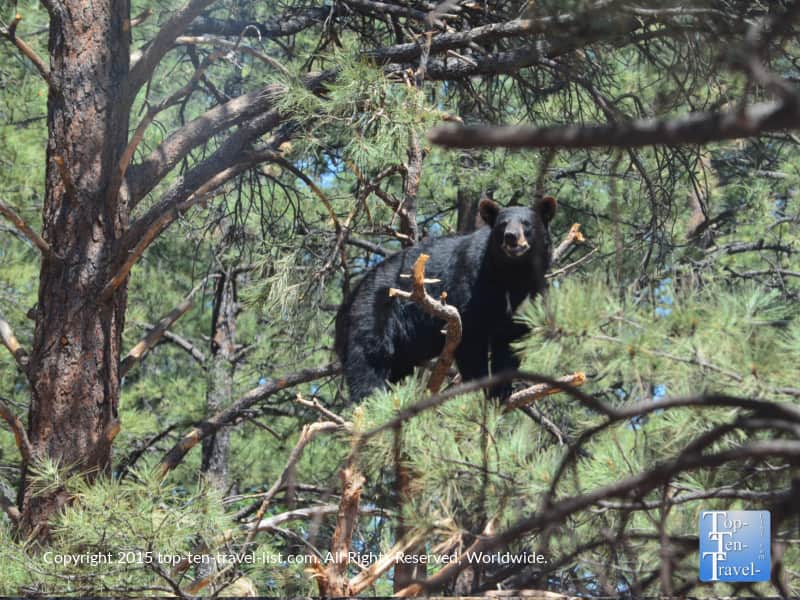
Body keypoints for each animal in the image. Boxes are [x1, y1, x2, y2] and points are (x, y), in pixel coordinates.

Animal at [335, 195, 557, 402]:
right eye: (502, 224)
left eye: (526, 223)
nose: (511, 237)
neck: (512, 275)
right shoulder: (472, 285)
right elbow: (471, 337)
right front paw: (480, 388)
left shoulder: (528, 296)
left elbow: (511, 340)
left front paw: (500, 391)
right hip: (373, 310)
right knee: (370, 356)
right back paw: (369, 399)